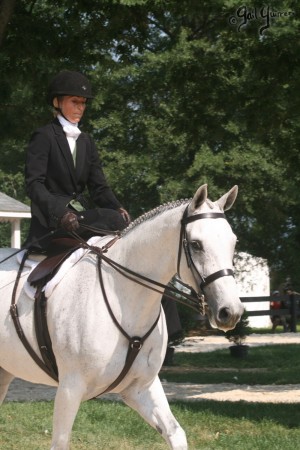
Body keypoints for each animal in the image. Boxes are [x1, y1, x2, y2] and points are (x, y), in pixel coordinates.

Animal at [0, 185, 244, 448]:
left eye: (233, 242)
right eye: (197, 245)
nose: (230, 312)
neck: (125, 300)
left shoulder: (141, 388)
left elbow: (175, 434)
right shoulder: (70, 388)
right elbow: (61, 442)